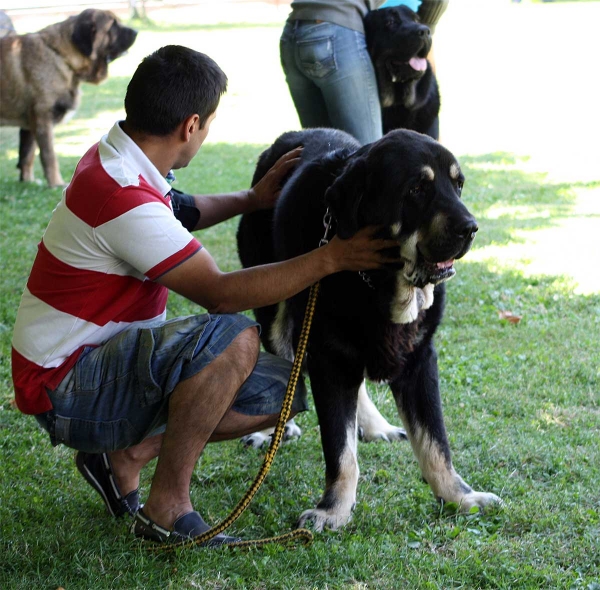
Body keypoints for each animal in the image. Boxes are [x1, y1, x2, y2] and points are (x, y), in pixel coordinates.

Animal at [0, 10, 137, 188]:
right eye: (112, 25)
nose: (136, 31)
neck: (61, 55)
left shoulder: (29, 125)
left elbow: (27, 155)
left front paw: (28, 181)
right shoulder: (42, 119)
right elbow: (49, 156)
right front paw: (56, 183)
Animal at [237, 128, 500, 532]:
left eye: (458, 185)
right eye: (417, 189)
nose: (470, 228)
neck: (382, 283)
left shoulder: (420, 359)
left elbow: (436, 442)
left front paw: (460, 497)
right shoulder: (329, 358)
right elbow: (340, 449)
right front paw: (334, 510)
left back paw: (376, 426)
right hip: (273, 308)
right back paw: (271, 429)